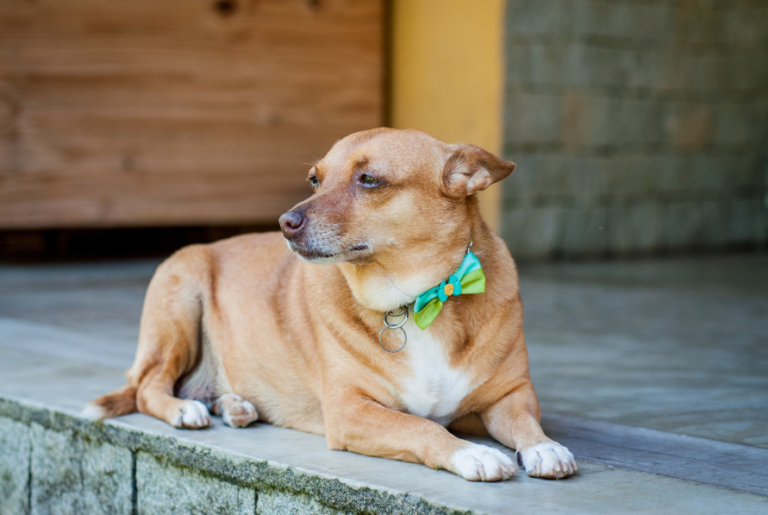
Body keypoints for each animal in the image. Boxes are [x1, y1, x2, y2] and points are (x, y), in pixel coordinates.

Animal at [85, 127, 576, 482]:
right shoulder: (349, 410)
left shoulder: (510, 395)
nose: (284, 222)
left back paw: (234, 406)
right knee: (149, 387)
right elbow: (423, 426)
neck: (418, 299)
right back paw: (186, 410)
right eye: (314, 179)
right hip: (181, 302)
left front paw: (545, 446)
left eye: (369, 179)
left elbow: (526, 423)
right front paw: (472, 453)